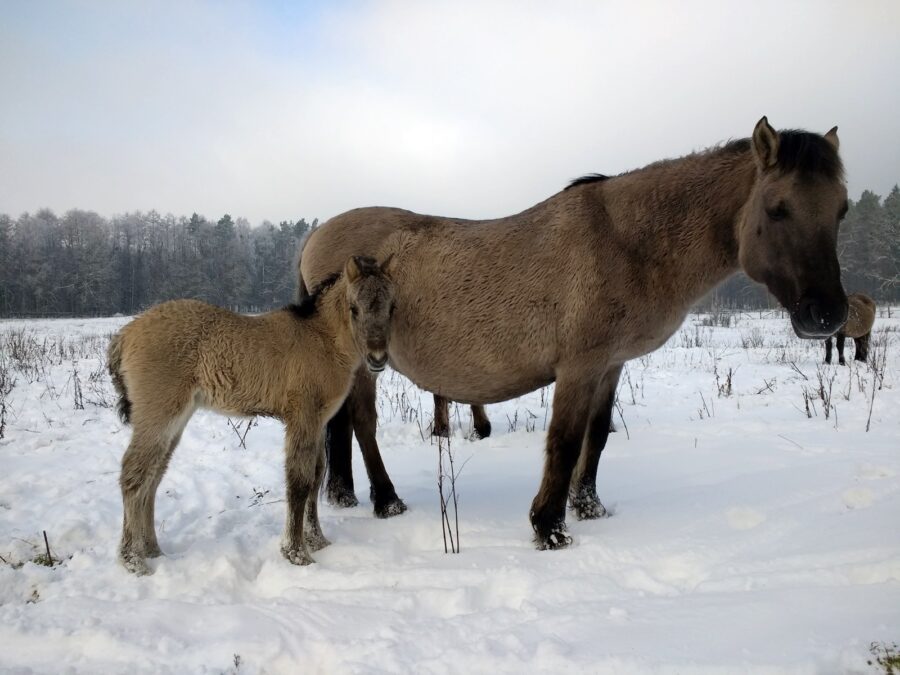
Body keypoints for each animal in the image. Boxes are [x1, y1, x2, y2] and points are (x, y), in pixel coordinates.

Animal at [108, 256, 394, 572]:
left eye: (391, 307)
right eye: (354, 308)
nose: (377, 359)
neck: (321, 338)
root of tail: (125, 334)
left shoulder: (319, 422)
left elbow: (316, 475)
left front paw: (318, 541)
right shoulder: (302, 418)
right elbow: (299, 481)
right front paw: (297, 553)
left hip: (175, 420)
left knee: (153, 476)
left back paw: (152, 550)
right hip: (158, 414)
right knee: (134, 474)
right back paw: (133, 560)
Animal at [298, 117, 848, 548]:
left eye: (841, 209)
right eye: (777, 208)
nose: (827, 316)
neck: (626, 243)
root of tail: (317, 235)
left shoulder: (610, 364)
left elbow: (596, 436)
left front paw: (589, 507)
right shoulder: (579, 366)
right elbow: (564, 440)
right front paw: (550, 527)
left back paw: (345, 494)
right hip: (367, 364)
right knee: (363, 425)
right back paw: (386, 501)